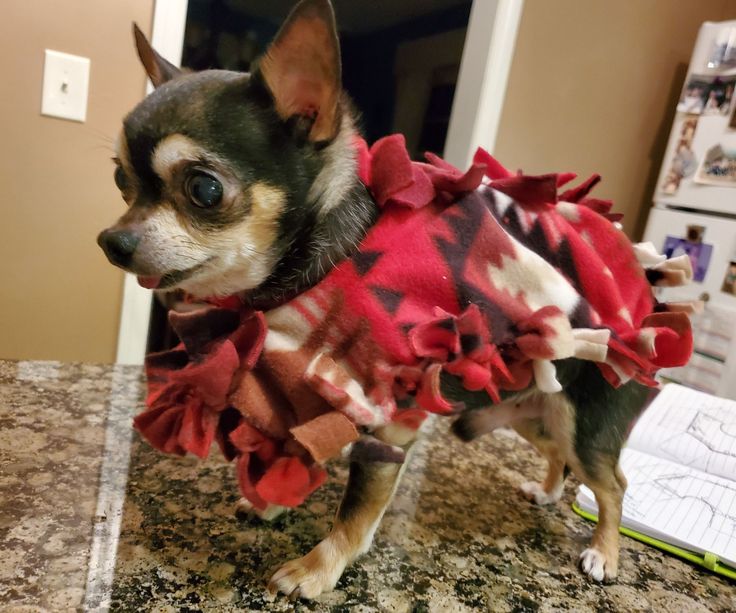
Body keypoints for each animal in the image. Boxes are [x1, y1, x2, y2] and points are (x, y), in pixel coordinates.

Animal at [99, 0, 648, 596]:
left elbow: (357, 510)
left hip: (581, 422)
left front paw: (317, 568)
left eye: (204, 189)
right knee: (560, 458)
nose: (111, 242)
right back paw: (546, 492)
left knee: (612, 482)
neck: (317, 267)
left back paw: (605, 552)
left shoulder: (389, 426)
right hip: (531, 408)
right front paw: (270, 506)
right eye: (120, 179)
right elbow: (292, 454)